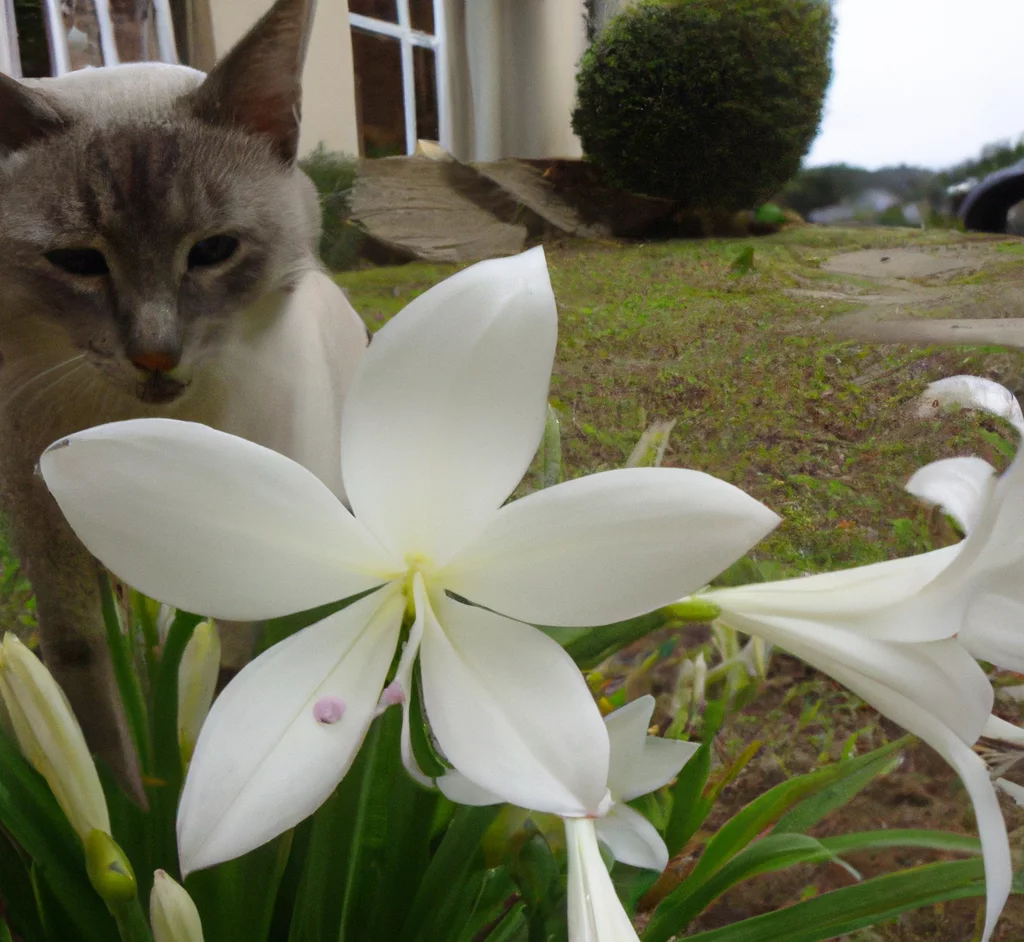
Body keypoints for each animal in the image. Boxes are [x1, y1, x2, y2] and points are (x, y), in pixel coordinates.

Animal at [0, 0, 368, 794]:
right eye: (77, 262)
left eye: (213, 252)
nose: (154, 354)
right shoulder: (53, 550)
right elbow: (98, 725)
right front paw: (136, 812)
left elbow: (229, 676)